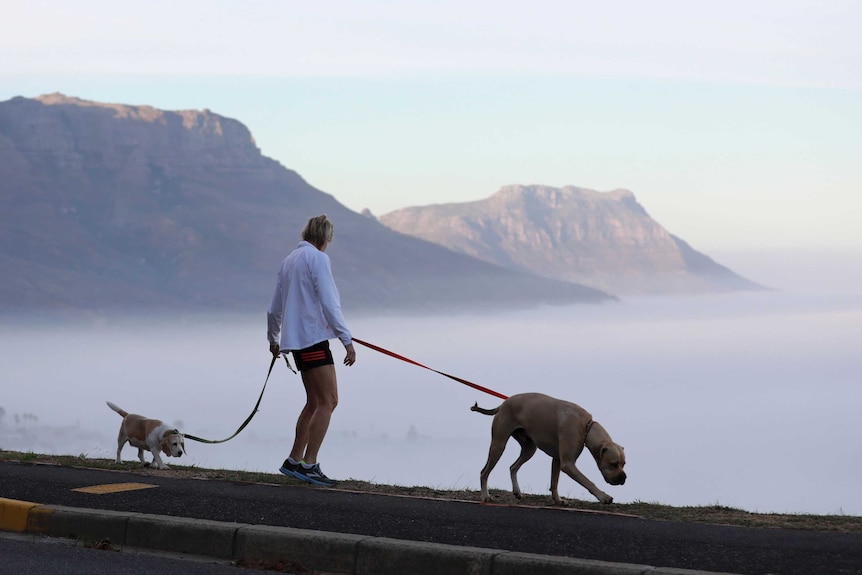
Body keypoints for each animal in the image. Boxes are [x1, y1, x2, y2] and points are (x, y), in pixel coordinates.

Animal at [472, 392, 628, 504]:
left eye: (623, 464)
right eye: (613, 464)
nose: (624, 478)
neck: (586, 427)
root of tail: (503, 404)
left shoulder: (557, 460)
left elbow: (554, 482)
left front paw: (557, 500)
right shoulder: (568, 464)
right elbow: (588, 481)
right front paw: (603, 497)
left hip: (529, 449)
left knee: (513, 467)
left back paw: (517, 491)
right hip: (498, 445)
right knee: (484, 472)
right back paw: (485, 496)